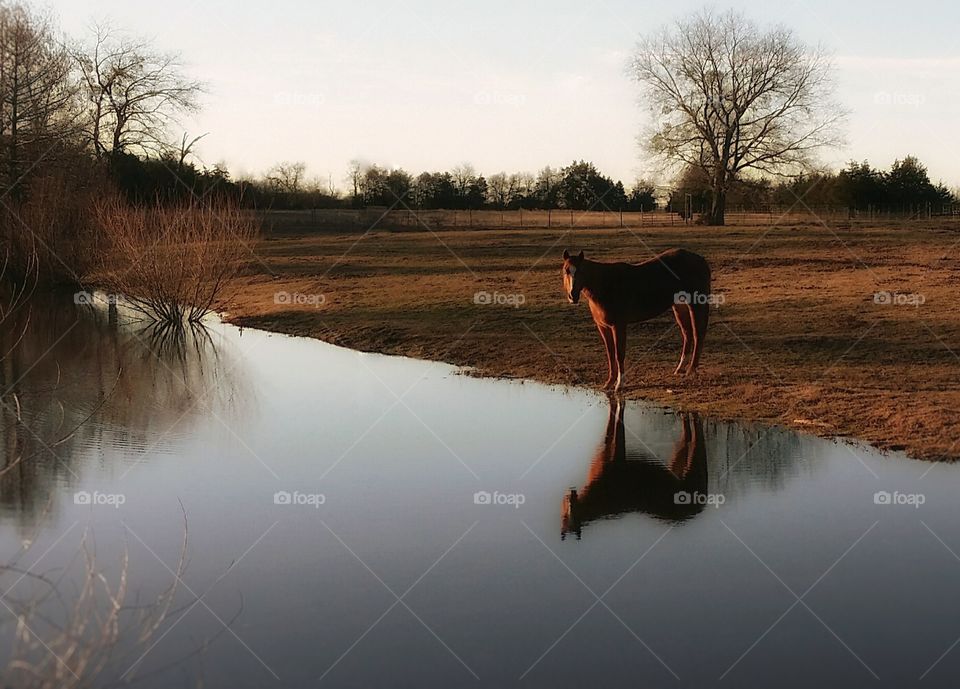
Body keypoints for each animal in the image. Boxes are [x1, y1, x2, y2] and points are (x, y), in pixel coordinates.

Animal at [560, 246, 708, 388]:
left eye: (580, 271)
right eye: (566, 271)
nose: (572, 296)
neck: (606, 285)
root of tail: (700, 259)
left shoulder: (618, 326)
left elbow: (619, 354)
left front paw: (619, 384)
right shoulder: (603, 327)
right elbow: (610, 354)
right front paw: (609, 382)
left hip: (696, 306)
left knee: (698, 334)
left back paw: (691, 370)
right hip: (679, 307)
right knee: (687, 333)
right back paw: (680, 368)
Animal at [564, 398, 704, 536]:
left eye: (571, 515)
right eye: (564, 516)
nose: (569, 499)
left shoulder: (618, 457)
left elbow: (618, 424)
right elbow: (610, 426)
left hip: (693, 467)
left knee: (698, 433)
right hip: (676, 466)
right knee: (687, 436)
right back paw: (683, 413)